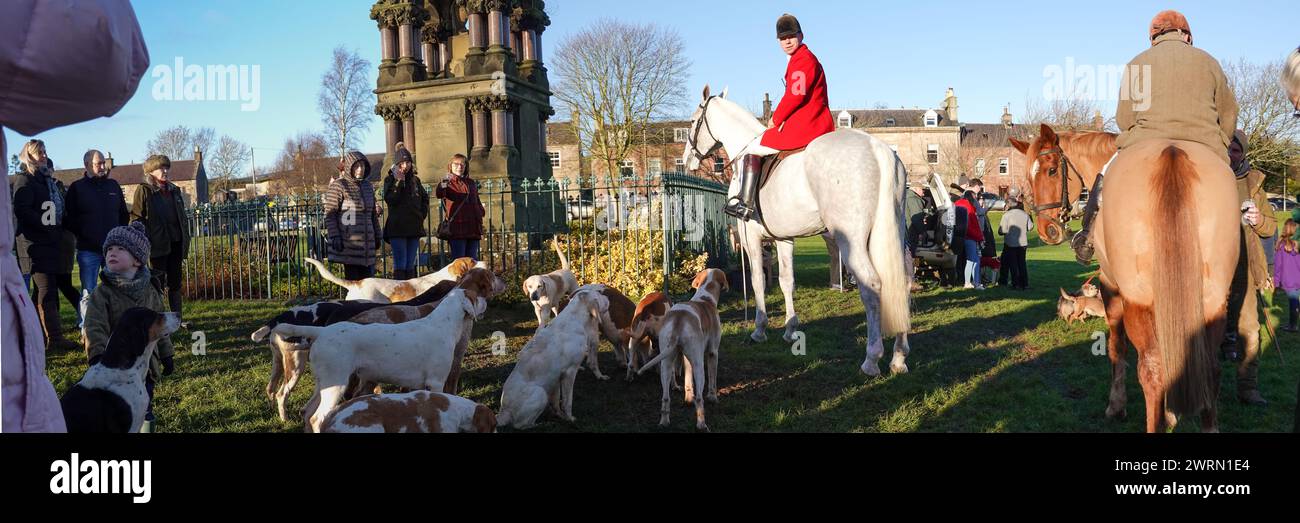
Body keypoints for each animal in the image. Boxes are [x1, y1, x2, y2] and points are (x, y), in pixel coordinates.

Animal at [686, 85, 909, 374]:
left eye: (693, 121)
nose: (687, 159)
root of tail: (877, 147)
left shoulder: (751, 238)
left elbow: (758, 281)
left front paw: (759, 329)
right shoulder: (784, 239)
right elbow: (786, 281)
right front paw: (791, 329)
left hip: (853, 241)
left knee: (871, 286)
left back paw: (871, 359)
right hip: (893, 232)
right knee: (902, 282)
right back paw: (899, 357)